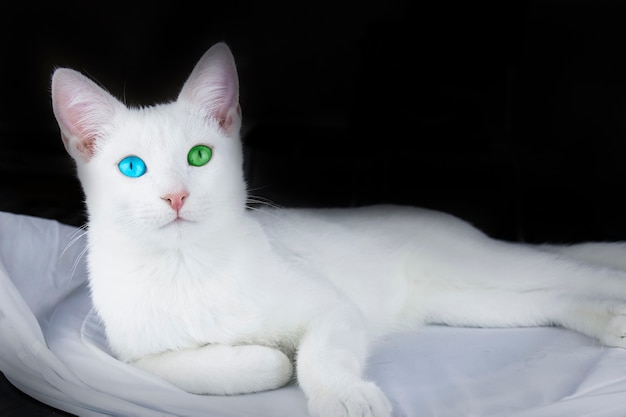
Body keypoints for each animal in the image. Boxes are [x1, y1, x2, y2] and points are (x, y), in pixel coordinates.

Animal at [50, 43, 626, 416]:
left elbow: (319, 355)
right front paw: (263, 356)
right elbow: (204, 368)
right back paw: (610, 321)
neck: (185, 267)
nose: (175, 196)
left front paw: (344, 397)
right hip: (466, 303)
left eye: (198, 157)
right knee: (547, 297)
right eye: (132, 168)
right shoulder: (133, 357)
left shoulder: (331, 307)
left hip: (487, 268)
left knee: (575, 271)